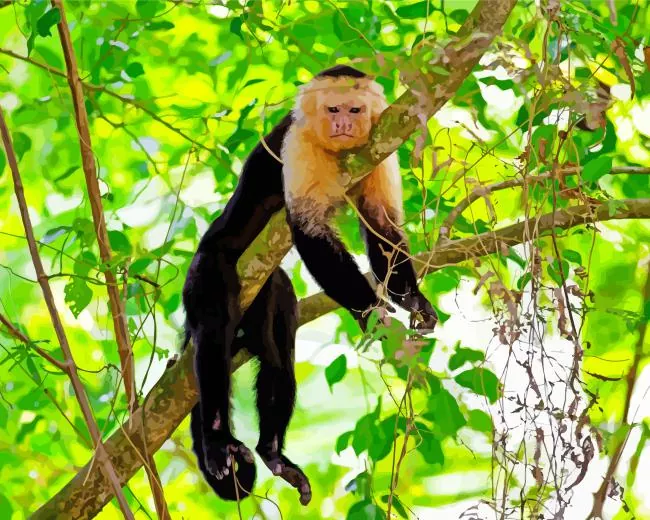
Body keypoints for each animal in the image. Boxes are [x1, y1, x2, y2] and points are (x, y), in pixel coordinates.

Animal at [182, 64, 437, 507]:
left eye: (355, 109)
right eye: (332, 109)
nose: (342, 124)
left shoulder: (380, 145)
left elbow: (381, 224)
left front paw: (411, 298)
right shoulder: (296, 141)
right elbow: (308, 229)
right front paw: (370, 310)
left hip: (269, 291)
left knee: (277, 353)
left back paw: (272, 453)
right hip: (207, 271)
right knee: (213, 334)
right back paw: (217, 441)